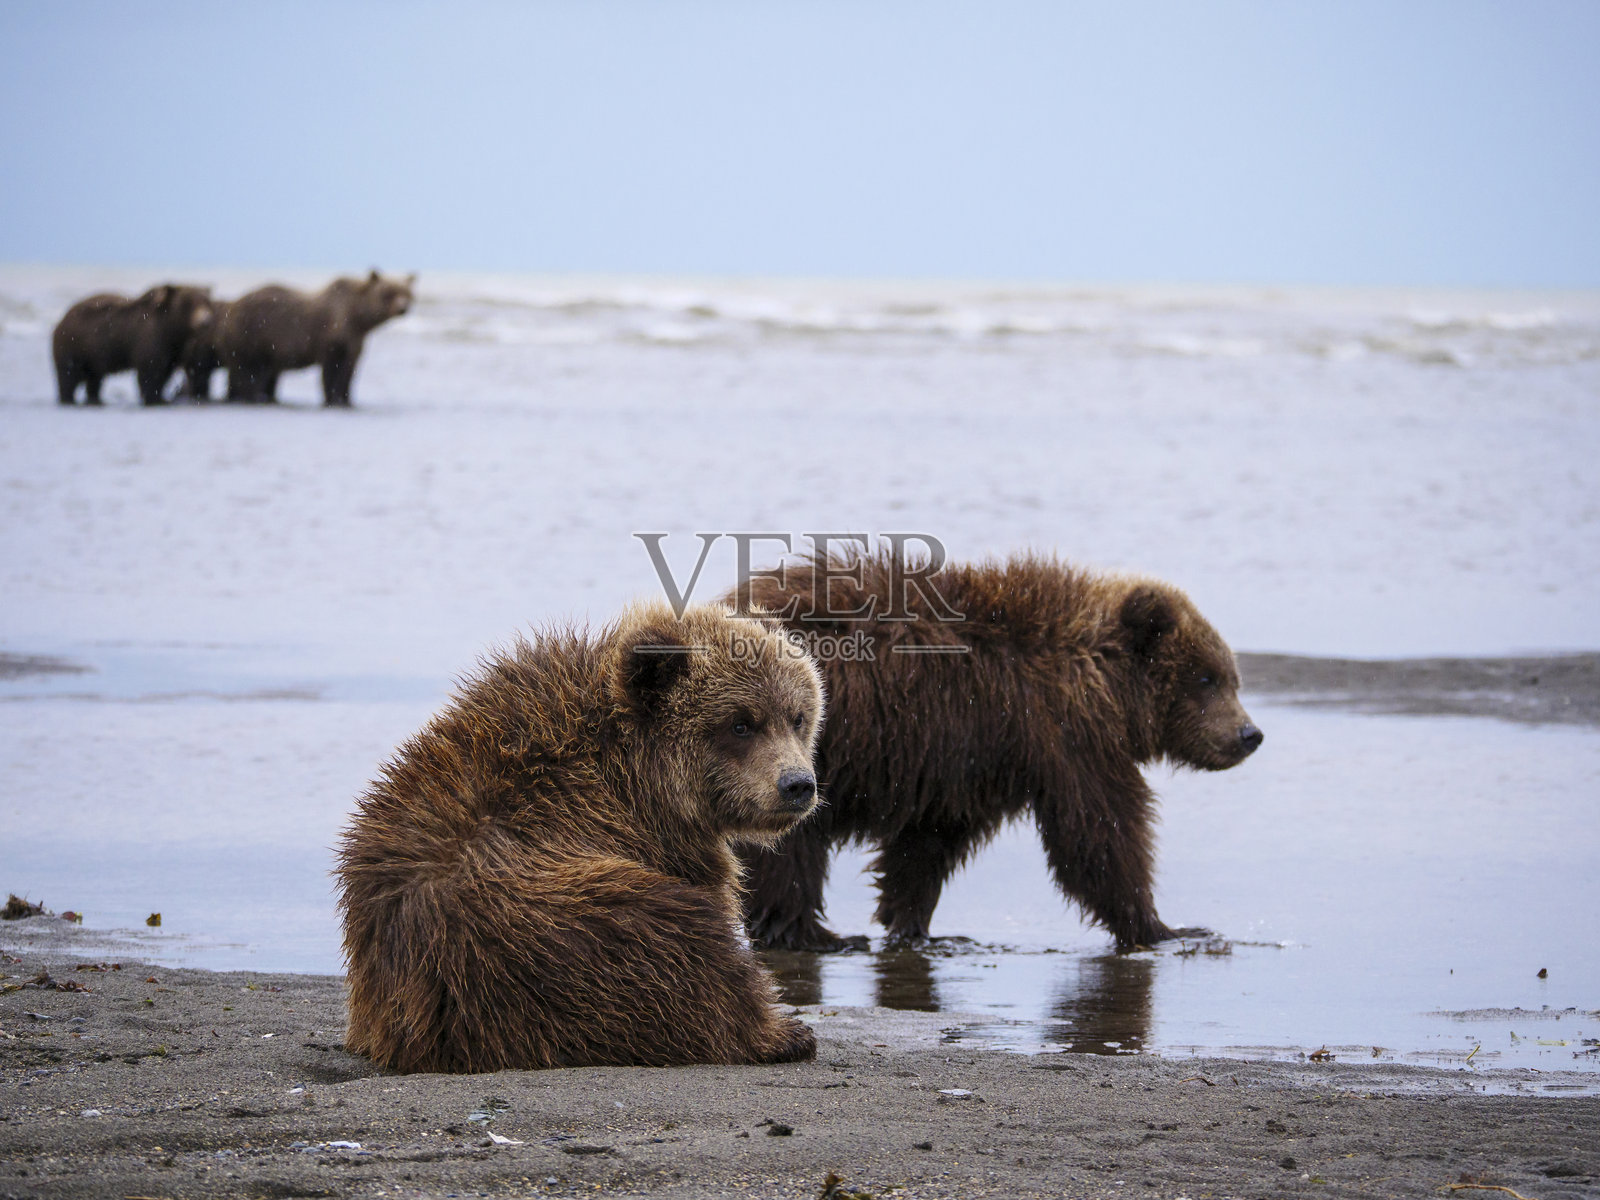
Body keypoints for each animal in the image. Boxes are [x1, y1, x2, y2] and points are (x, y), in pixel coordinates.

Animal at [51, 284, 215, 406]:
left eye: (206, 302)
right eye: (187, 303)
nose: (205, 321)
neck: (172, 331)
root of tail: (61, 320)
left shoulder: (172, 350)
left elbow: (165, 371)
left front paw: (161, 397)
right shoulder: (150, 339)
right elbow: (150, 370)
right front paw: (153, 398)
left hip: (91, 355)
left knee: (94, 378)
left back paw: (95, 399)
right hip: (72, 345)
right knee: (68, 376)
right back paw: (68, 399)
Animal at [219, 270, 414, 406]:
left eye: (407, 293)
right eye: (388, 292)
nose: (402, 308)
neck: (357, 318)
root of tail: (231, 308)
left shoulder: (355, 341)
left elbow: (349, 370)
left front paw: (346, 398)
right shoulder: (330, 337)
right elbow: (330, 369)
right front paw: (331, 398)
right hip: (250, 334)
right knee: (248, 370)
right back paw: (252, 396)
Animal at [335, 601, 826, 1073]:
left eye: (797, 717)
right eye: (740, 723)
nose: (797, 784)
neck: (634, 773)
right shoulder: (646, 835)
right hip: (569, 922)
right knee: (687, 948)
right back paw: (780, 1033)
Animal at [731, 550, 1263, 954]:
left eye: (1231, 675)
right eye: (1206, 678)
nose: (1249, 734)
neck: (1103, 680)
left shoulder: (968, 760)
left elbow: (927, 843)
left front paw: (917, 926)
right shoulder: (1066, 736)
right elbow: (1100, 830)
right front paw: (1167, 928)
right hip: (791, 750)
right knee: (791, 846)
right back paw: (815, 934)